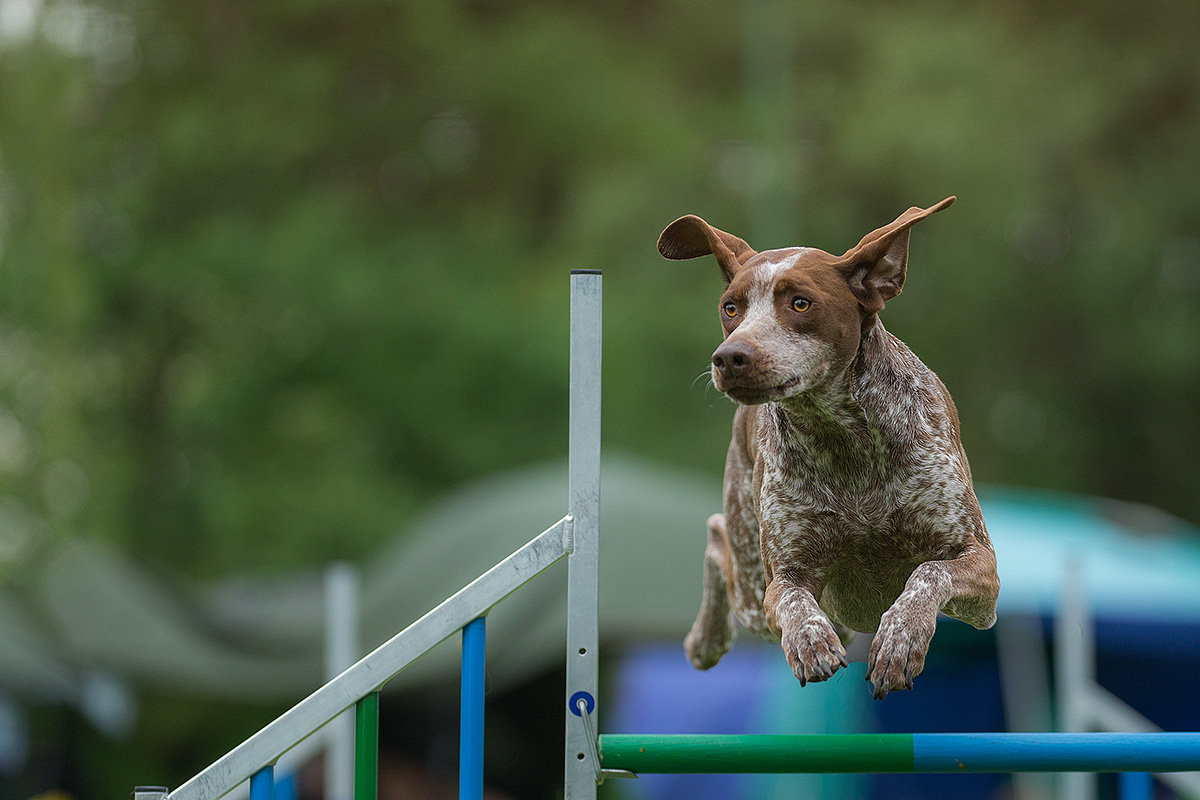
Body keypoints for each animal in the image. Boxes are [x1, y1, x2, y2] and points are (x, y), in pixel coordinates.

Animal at [662, 196, 998, 695]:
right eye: (731, 308)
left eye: (801, 303)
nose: (729, 358)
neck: (843, 439)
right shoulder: (785, 578)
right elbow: (795, 604)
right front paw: (809, 641)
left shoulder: (980, 571)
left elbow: (927, 573)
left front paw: (900, 640)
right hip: (754, 585)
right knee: (717, 538)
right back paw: (706, 639)